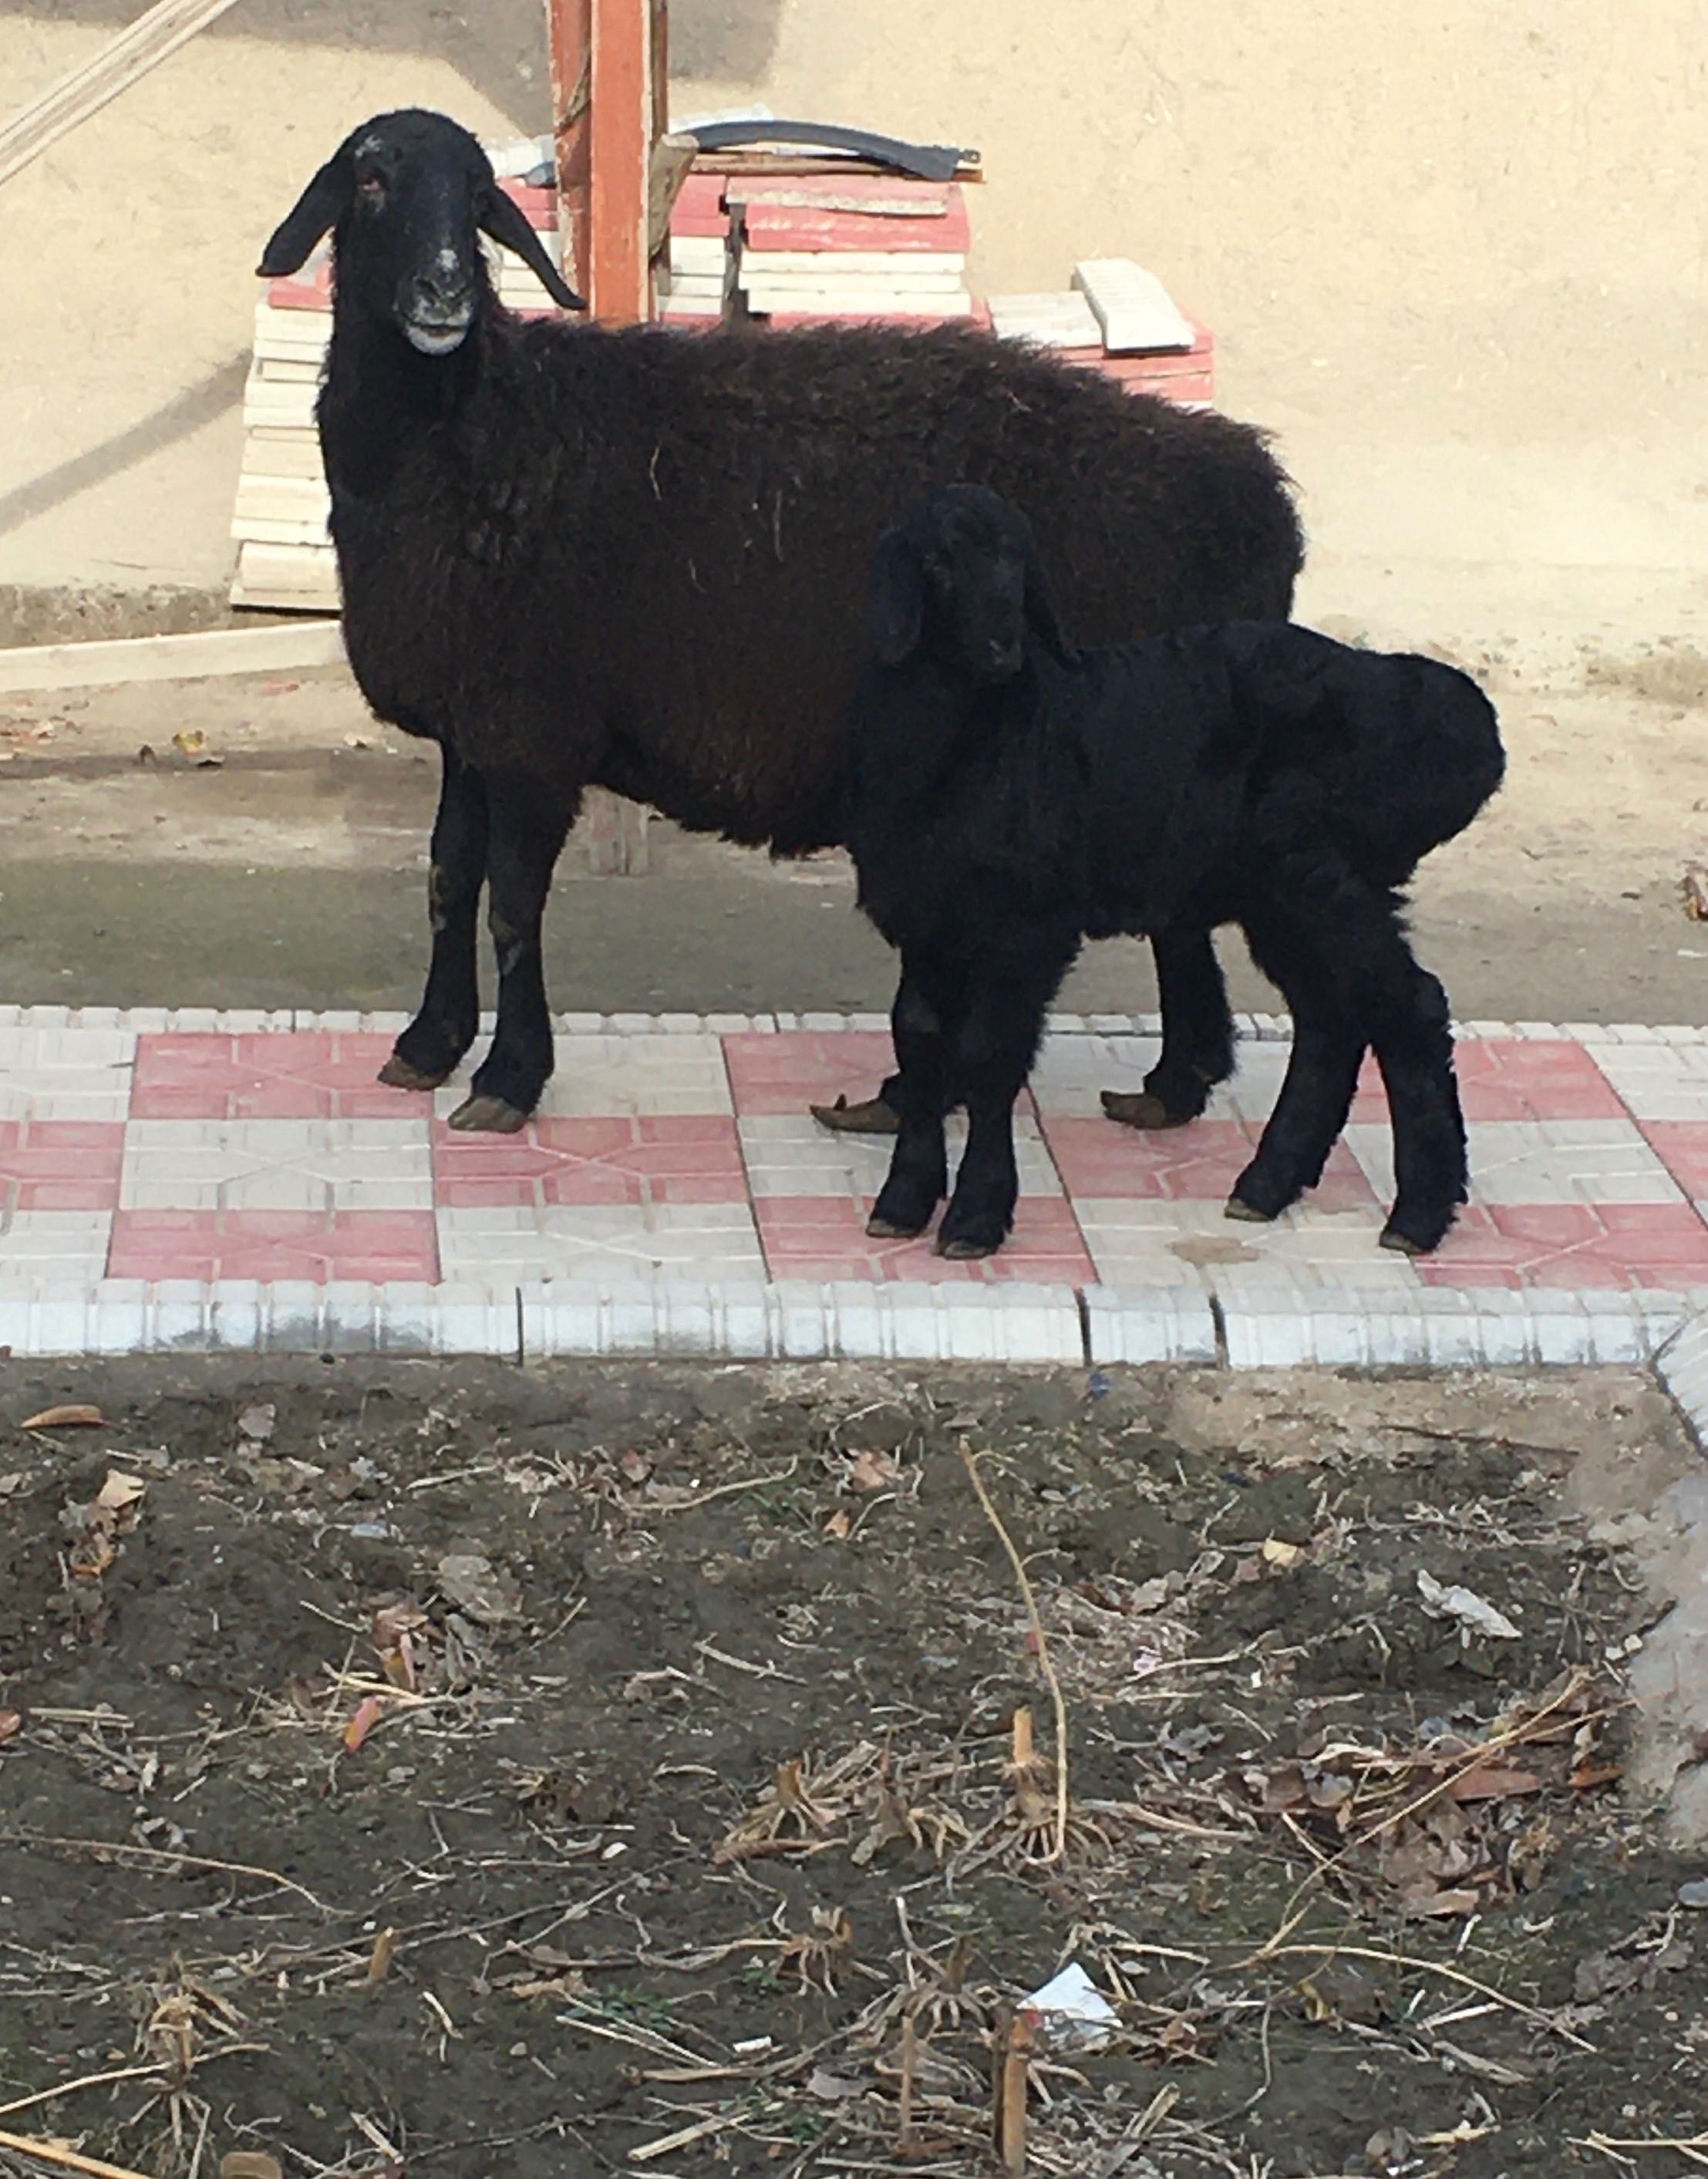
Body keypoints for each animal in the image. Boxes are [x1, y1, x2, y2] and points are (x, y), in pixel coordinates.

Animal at [254, 108, 1298, 1133]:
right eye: (371, 180)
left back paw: (1142, 1081)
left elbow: (511, 903)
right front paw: (428, 1045)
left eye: (477, 198)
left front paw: (509, 1076)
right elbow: (445, 878)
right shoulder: (470, 724)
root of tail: (1254, 494)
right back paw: (1160, 1083)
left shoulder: (530, 730)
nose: (445, 290)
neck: (469, 427)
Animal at [845, 486, 1498, 1255]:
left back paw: (1418, 1213)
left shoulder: (1029, 918)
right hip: (1284, 891)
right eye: (938, 563)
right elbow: (918, 1039)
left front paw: (976, 1215)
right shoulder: (921, 914)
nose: (1003, 645)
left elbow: (985, 1055)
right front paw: (903, 1199)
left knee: (1408, 1004)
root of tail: (1465, 731)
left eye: (1015, 561)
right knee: (1333, 1017)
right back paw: (1267, 1185)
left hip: (1320, 870)